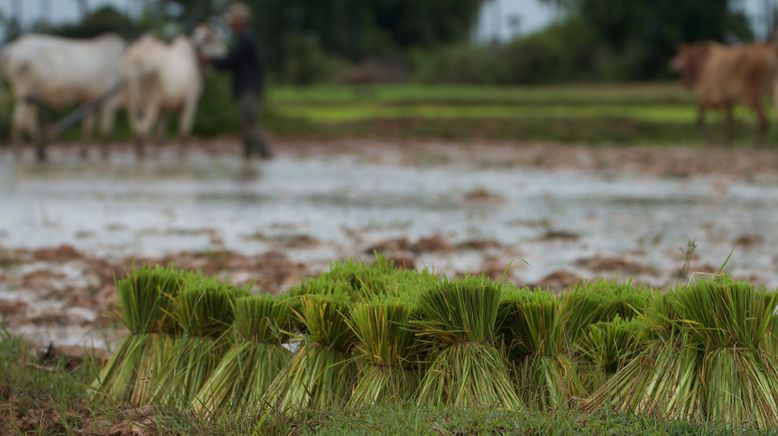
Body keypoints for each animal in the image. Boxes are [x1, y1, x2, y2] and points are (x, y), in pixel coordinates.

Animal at [121, 24, 224, 158]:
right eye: (213, 40)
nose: (223, 53)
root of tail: (136, 59)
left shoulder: (165, 108)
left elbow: (160, 137)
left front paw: (158, 154)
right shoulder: (190, 101)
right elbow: (184, 132)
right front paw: (182, 155)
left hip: (132, 101)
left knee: (135, 127)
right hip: (150, 101)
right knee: (142, 129)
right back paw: (142, 155)